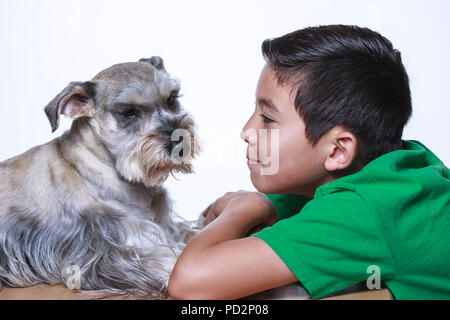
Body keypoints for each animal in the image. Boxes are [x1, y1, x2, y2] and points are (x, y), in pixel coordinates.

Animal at [0, 56, 200, 298]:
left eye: (171, 99)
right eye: (129, 112)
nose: (179, 143)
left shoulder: (165, 226)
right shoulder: (111, 249)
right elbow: (168, 259)